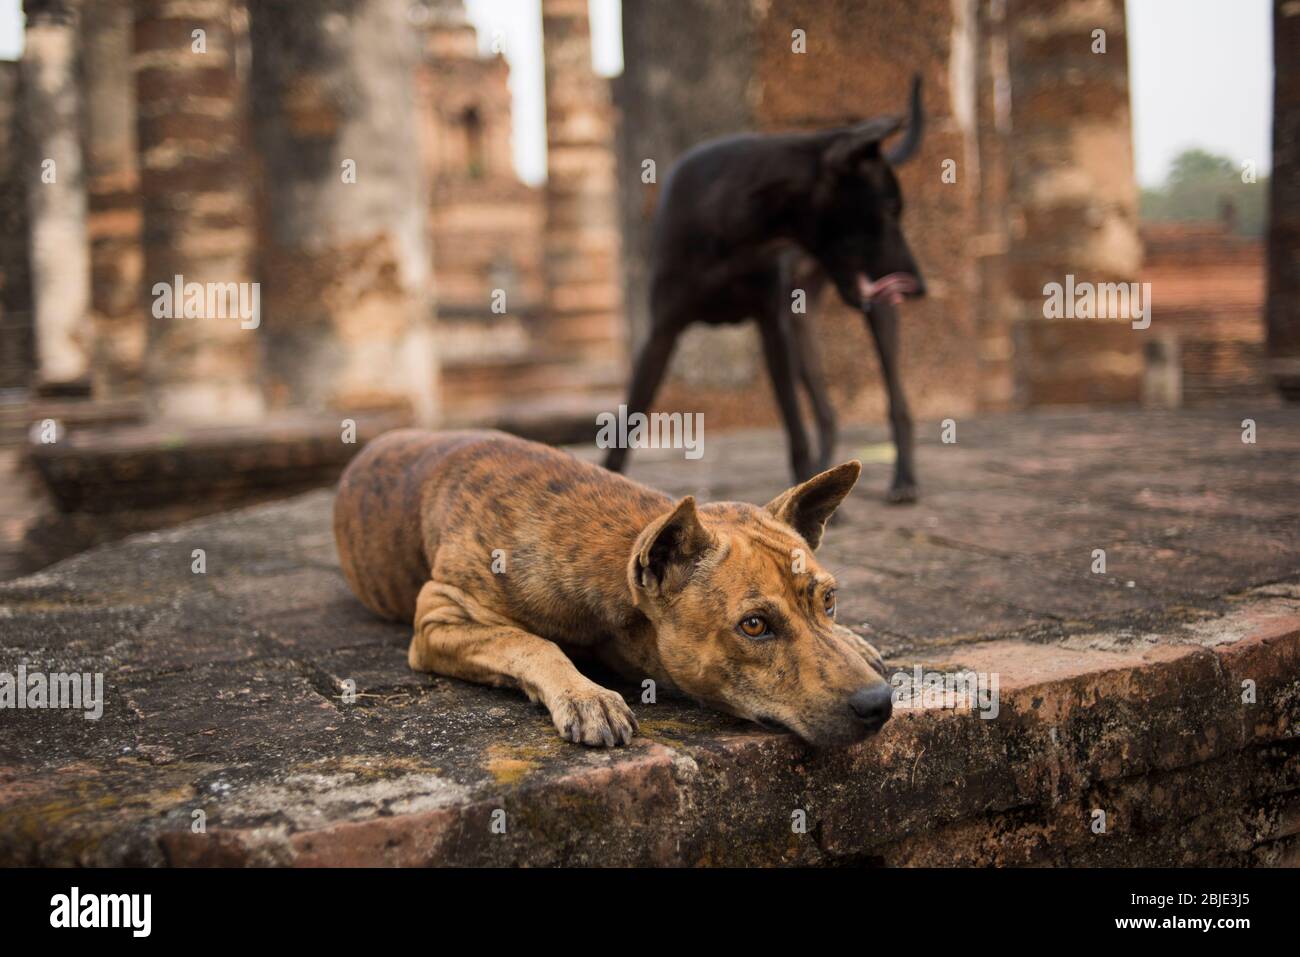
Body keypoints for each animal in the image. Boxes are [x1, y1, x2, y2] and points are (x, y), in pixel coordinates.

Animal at [332, 429, 894, 748]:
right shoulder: (440, 616)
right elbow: (528, 641)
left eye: (829, 600)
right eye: (754, 626)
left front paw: (852, 637)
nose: (879, 704)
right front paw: (587, 695)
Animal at [605, 78, 925, 504]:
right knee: (826, 411)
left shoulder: (773, 329)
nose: (918, 285)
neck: (736, 224)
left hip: (870, 315)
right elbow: (629, 420)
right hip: (802, 324)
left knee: (896, 402)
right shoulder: (662, 332)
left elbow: (795, 430)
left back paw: (902, 479)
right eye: (890, 209)